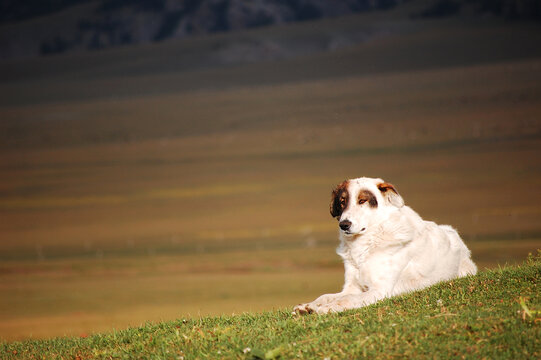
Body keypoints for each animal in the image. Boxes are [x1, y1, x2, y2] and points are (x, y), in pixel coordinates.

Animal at [294, 179, 474, 314]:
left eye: (362, 200)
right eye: (342, 202)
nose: (344, 225)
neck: (365, 245)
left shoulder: (380, 290)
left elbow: (347, 299)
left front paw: (325, 309)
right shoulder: (352, 287)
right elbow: (327, 295)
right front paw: (308, 306)